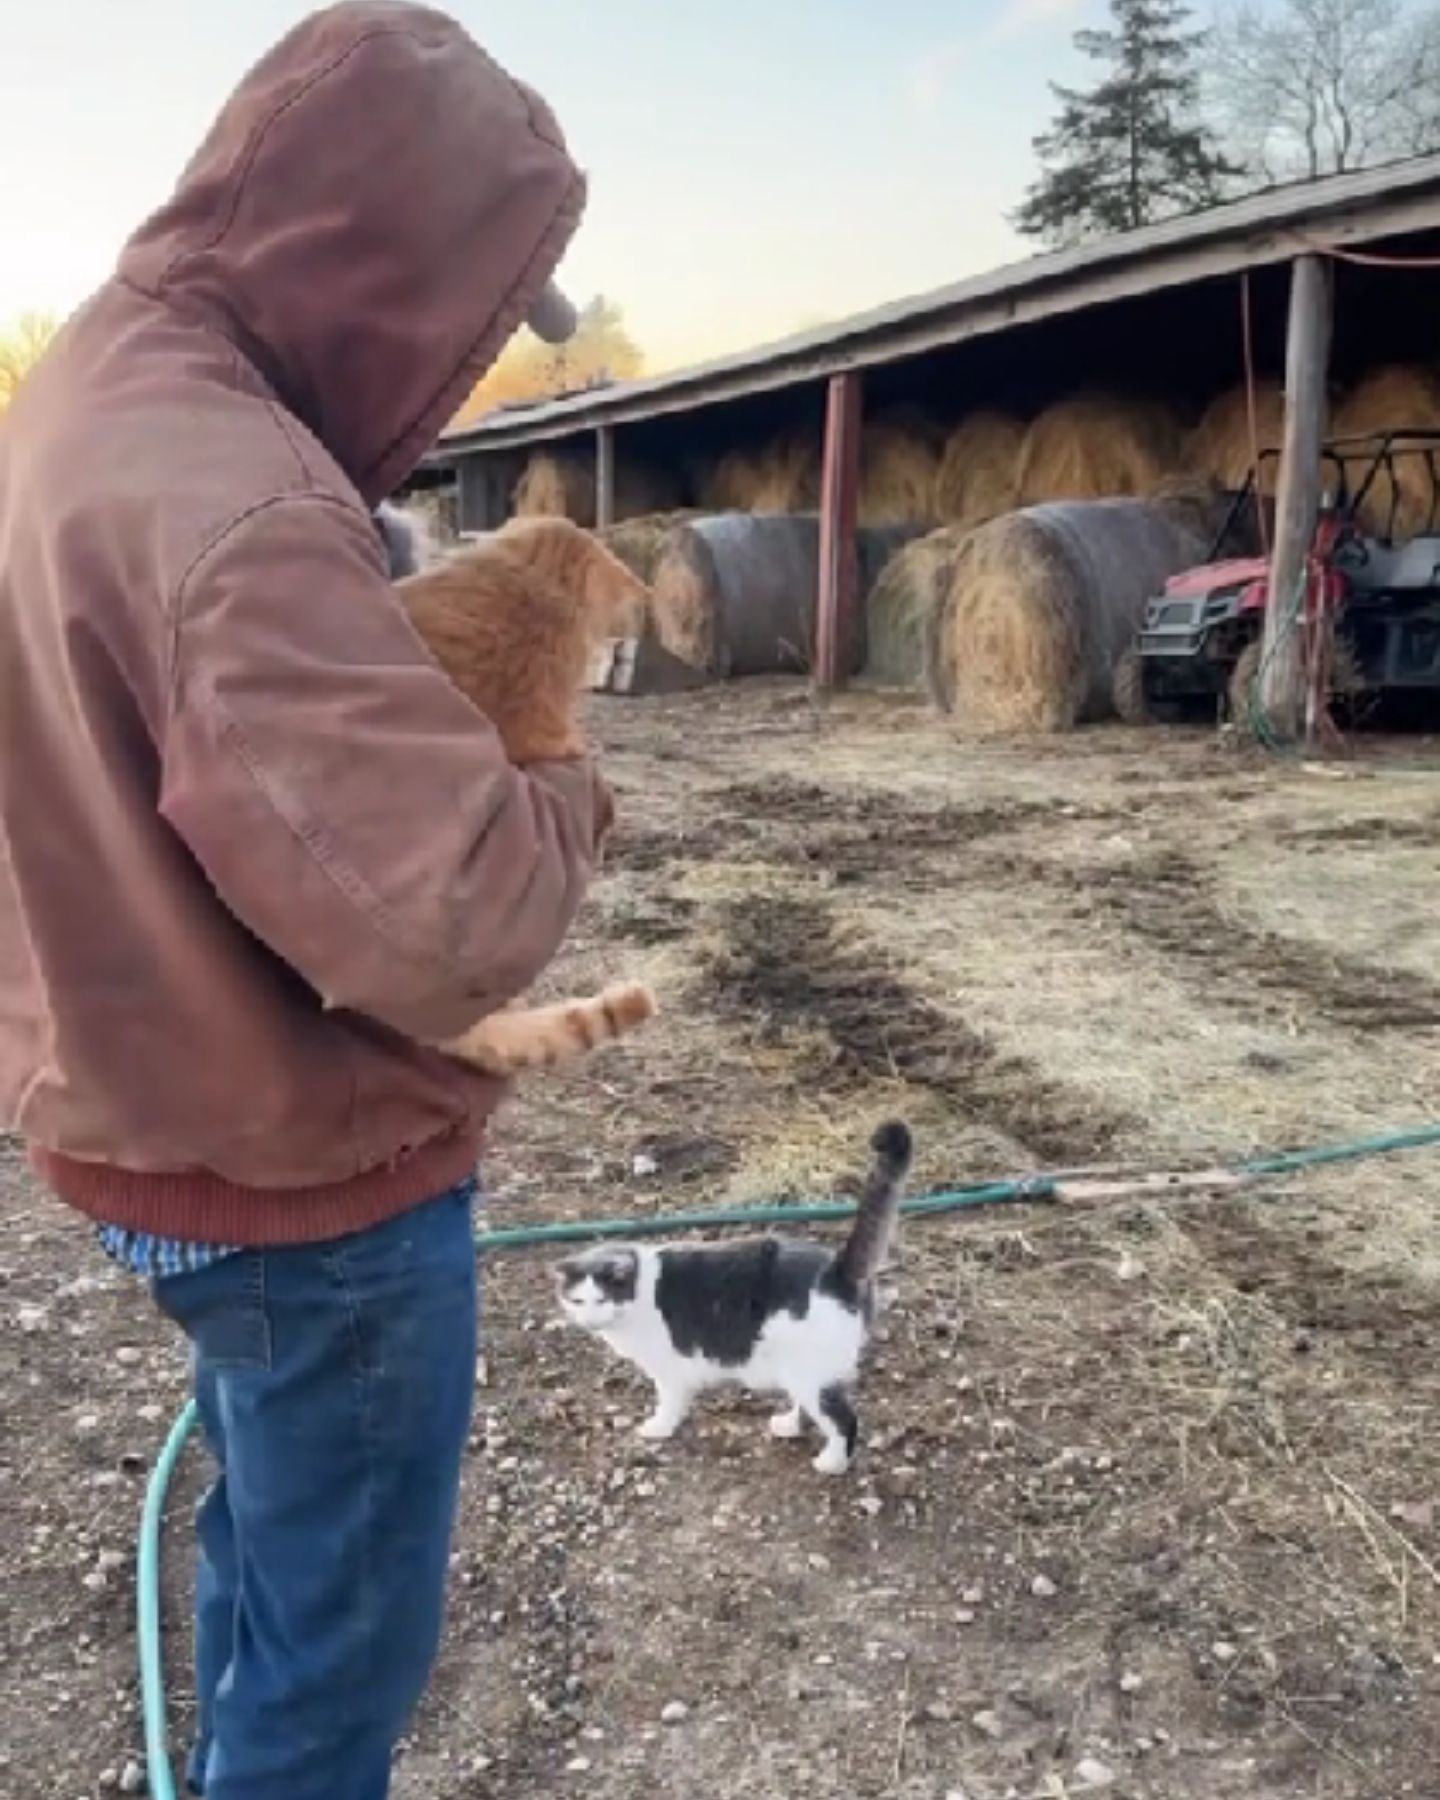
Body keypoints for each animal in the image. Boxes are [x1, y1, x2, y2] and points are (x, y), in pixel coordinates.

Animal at [550, 1123, 910, 1476]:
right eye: (578, 1302)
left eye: (601, 1300)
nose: (589, 1322)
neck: (638, 1293)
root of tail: (837, 1268)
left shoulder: (668, 1370)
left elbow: (669, 1402)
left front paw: (659, 1428)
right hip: (801, 1369)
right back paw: (788, 1425)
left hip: (811, 1373)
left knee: (843, 1420)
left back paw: (832, 1464)